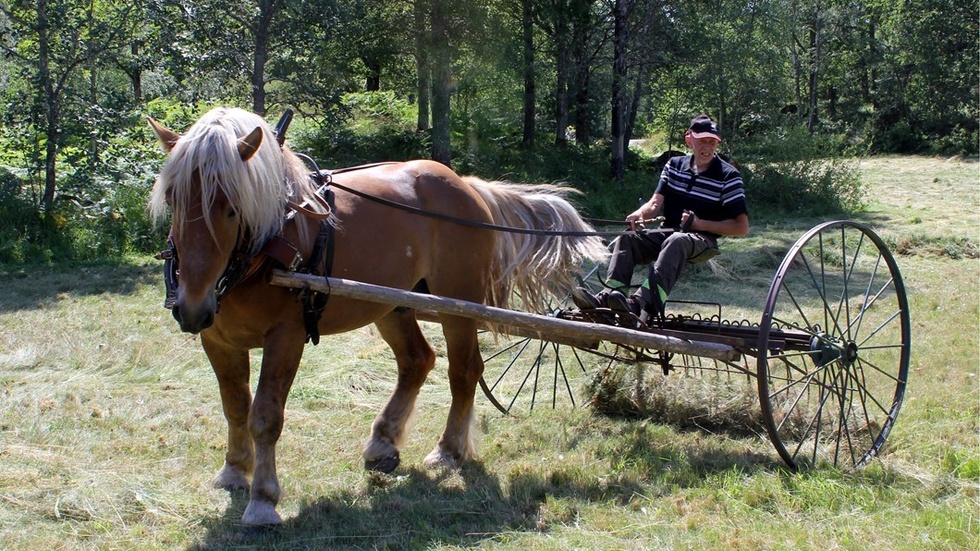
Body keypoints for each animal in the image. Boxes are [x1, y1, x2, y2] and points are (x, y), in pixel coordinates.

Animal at [146, 106, 608, 528]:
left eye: (231, 205)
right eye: (172, 199)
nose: (191, 307)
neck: (268, 242)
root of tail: (468, 185)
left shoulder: (286, 336)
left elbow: (265, 416)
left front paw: (263, 500)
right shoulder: (217, 339)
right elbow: (235, 407)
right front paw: (233, 470)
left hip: (458, 306)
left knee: (464, 370)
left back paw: (448, 450)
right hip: (392, 304)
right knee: (417, 360)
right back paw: (383, 442)